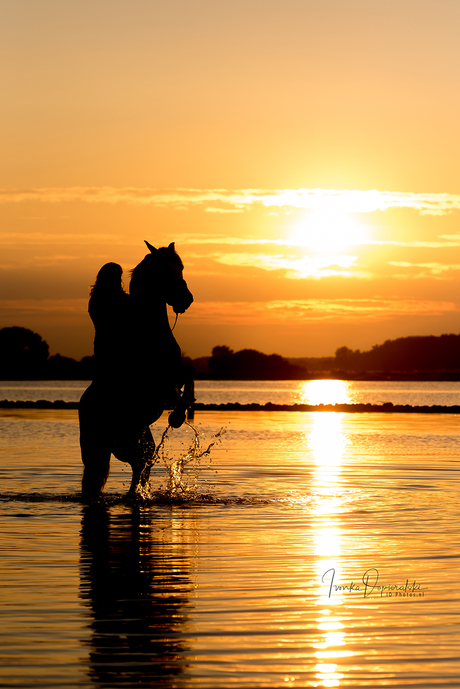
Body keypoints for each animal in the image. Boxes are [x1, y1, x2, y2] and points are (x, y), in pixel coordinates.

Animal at [79, 243, 194, 500]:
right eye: (164, 269)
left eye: (180, 267)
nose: (186, 299)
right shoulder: (160, 385)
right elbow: (184, 383)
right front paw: (176, 417)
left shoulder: (173, 377)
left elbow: (189, 375)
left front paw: (180, 415)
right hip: (110, 446)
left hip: (139, 442)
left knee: (140, 470)